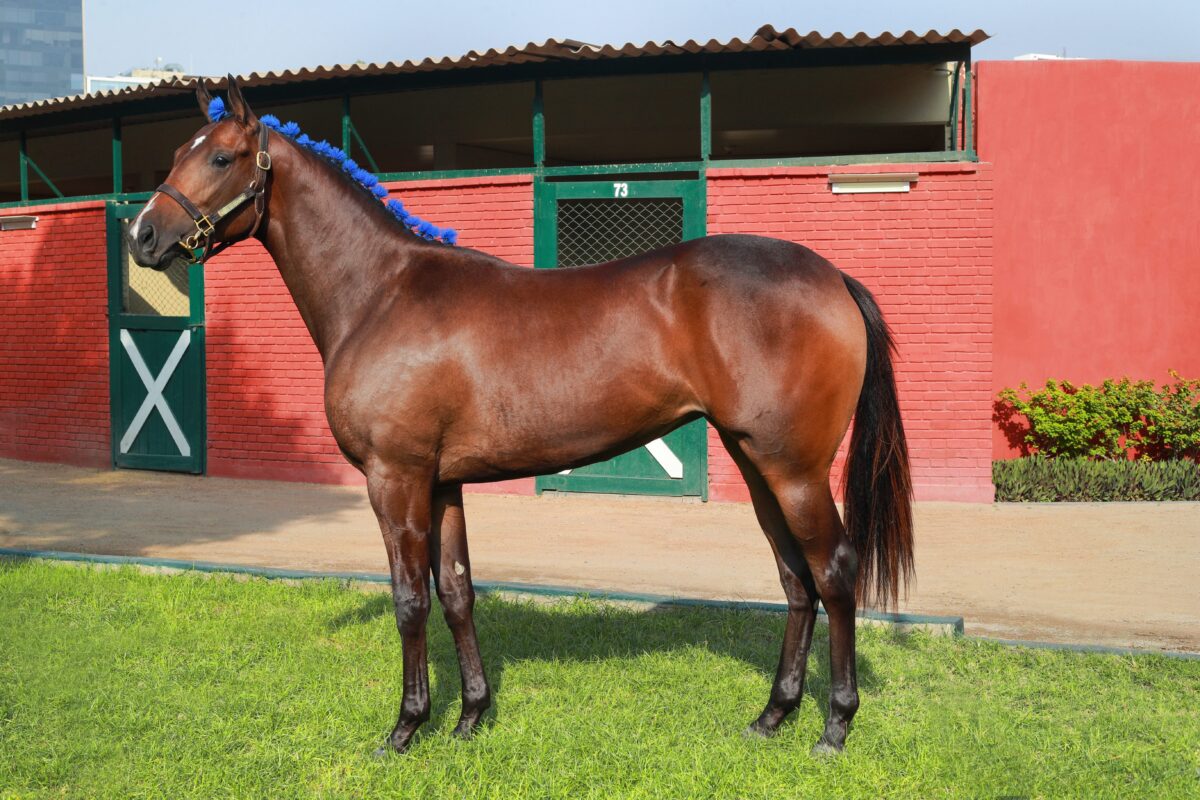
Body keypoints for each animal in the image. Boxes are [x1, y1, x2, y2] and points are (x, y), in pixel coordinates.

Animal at [127, 76, 913, 757]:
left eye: (220, 156)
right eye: (178, 153)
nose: (142, 236)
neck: (380, 293)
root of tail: (831, 276)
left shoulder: (395, 479)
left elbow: (409, 598)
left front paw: (405, 728)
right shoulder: (441, 484)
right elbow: (457, 592)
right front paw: (470, 717)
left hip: (795, 470)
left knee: (834, 573)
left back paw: (833, 727)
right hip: (758, 466)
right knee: (795, 580)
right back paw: (773, 715)